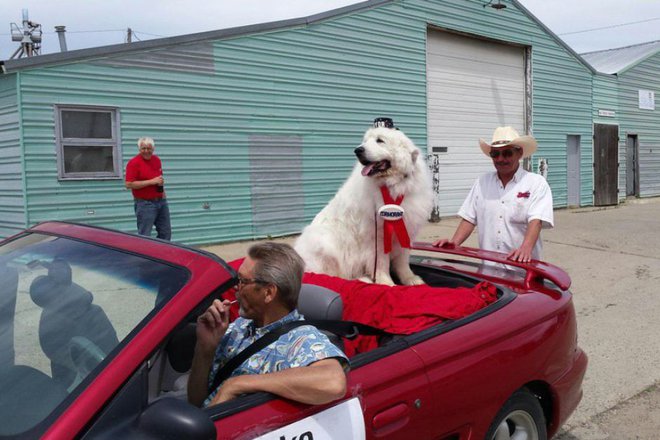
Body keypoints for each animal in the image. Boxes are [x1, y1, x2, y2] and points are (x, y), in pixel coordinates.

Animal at [296, 121, 434, 286]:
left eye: (380, 140)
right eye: (365, 141)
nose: (357, 150)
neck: (391, 185)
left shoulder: (405, 228)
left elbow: (402, 260)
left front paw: (410, 279)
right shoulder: (376, 236)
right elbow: (381, 263)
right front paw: (387, 283)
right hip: (325, 243)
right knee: (332, 276)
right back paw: (363, 279)